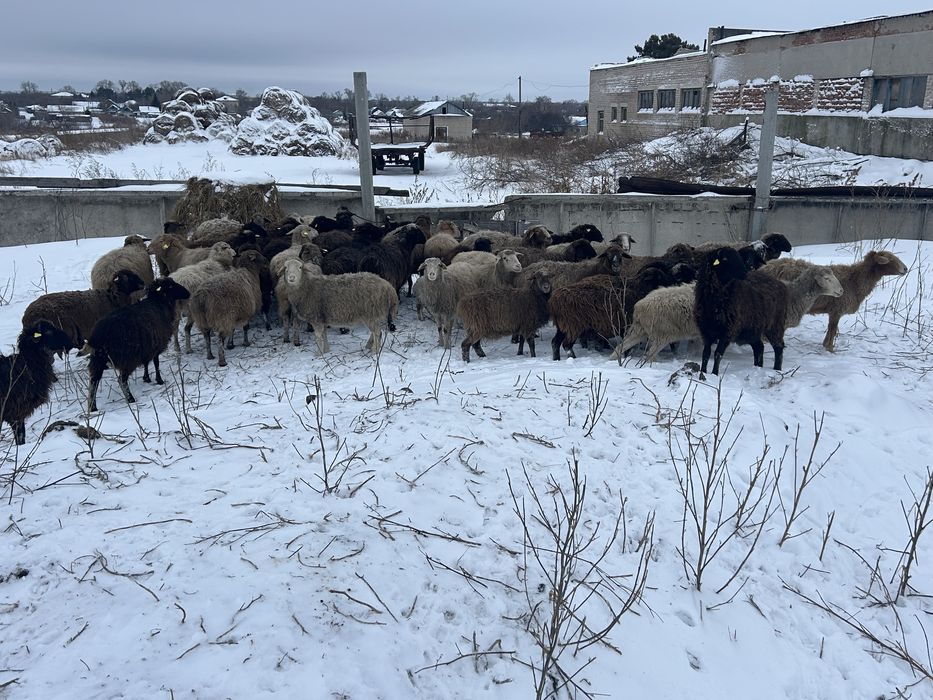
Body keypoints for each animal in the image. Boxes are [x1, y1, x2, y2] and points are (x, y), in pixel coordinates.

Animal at [85, 278, 191, 412]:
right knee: (121, 380)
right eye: (171, 286)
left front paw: (146, 378)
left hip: (98, 359)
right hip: (127, 358)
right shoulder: (156, 345)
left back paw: (93, 407)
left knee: (94, 381)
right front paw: (159, 380)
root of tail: (99, 334)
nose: (188, 293)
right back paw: (130, 399)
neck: (159, 303)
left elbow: (146, 362)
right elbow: (156, 362)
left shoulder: (147, 346)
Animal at [694, 247, 790, 375]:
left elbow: (717, 354)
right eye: (725, 258)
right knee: (759, 347)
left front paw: (714, 374)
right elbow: (706, 354)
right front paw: (703, 372)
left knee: (778, 347)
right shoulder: (706, 331)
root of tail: (780, 284)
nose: (745, 273)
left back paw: (777, 369)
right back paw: (758, 367)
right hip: (752, 329)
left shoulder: (728, 331)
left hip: (775, 325)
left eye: (738, 257)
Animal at [761, 249, 907, 351]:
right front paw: (830, 349)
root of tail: (765, 266)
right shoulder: (837, 309)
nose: (905, 269)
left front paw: (826, 345)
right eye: (889, 259)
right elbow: (832, 329)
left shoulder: (834, 311)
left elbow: (831, 329)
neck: (855, 280)